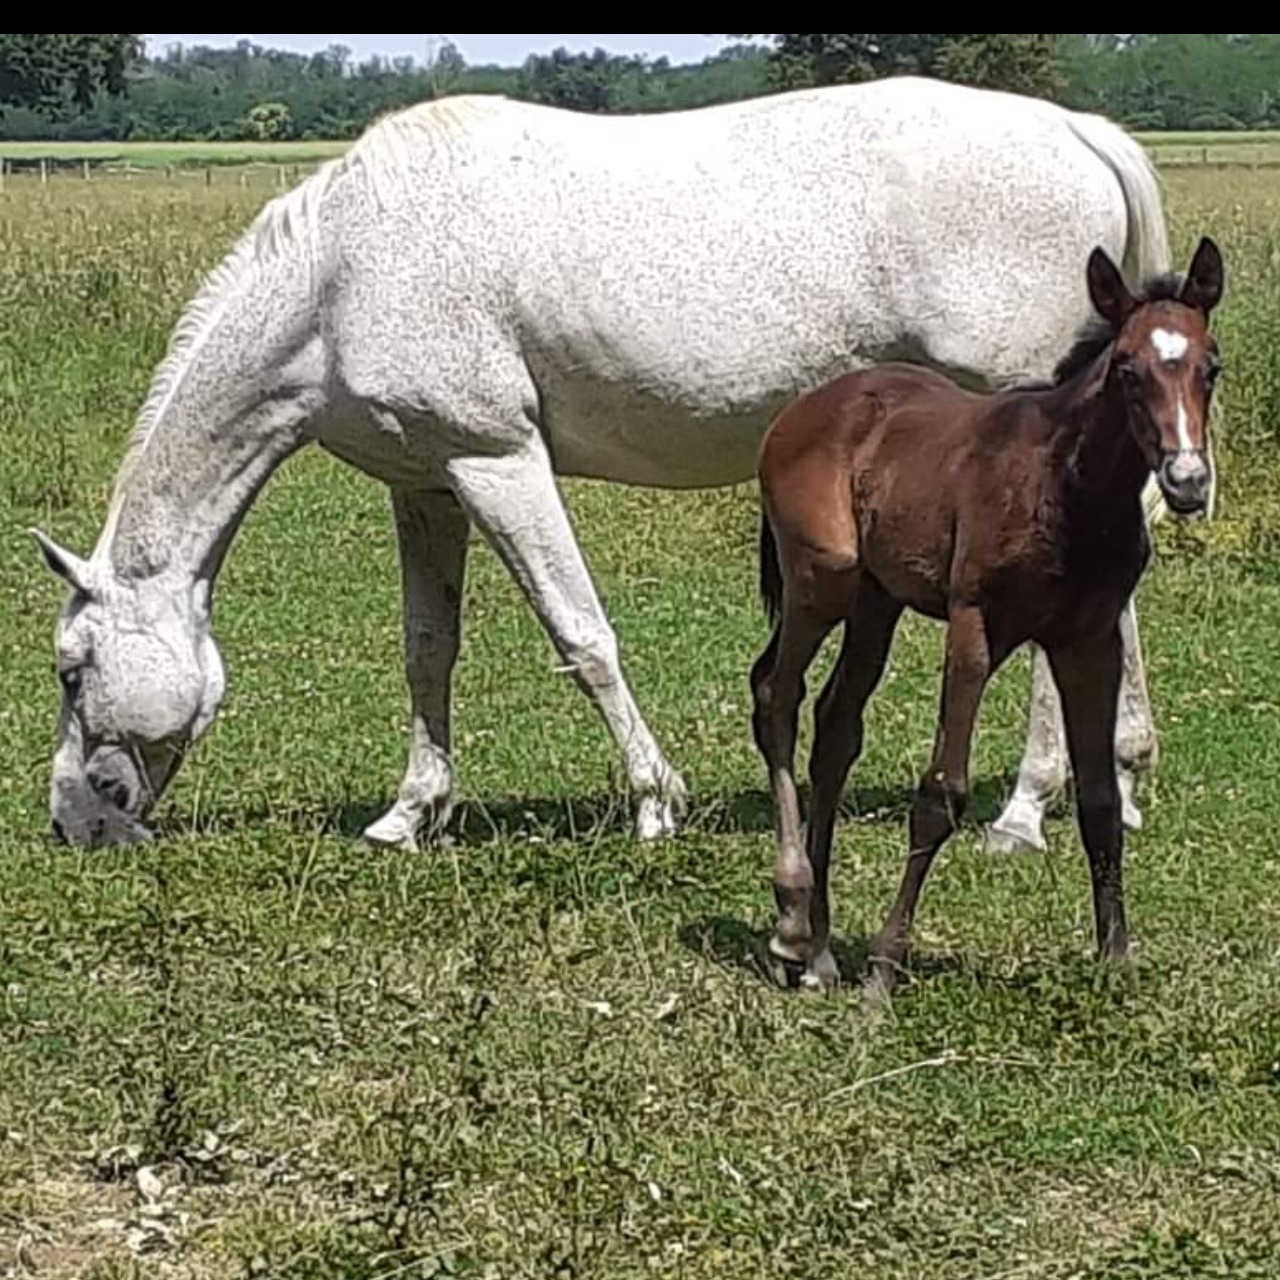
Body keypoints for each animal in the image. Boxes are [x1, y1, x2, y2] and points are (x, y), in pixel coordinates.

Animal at [30, 77, 1182, 849]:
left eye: (71, 667)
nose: (75, 821)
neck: (343, 271)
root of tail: (1075, 131)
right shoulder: (427, 484)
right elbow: (427, 649)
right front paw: (410, 812)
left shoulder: (497, 460)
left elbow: (581, 635)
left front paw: (653, 801)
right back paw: (1118, 779)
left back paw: (1024, 809)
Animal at [752, 240, 1223, 998]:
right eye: (1128, 369)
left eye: (1212, 366)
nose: (1186, 482)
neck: (1066, 489)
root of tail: (803, 410)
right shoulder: (975, 627)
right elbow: (941, 792)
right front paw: (883, 972)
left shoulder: (1087, 641)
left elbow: (1099, 802)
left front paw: (1115, 964)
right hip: (822, 581)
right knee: (775, 692)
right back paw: (793, 927)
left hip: (877, 601)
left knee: (836, 725)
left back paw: (821, 948)